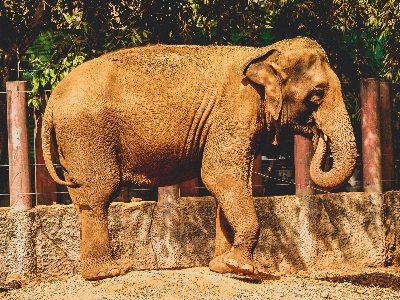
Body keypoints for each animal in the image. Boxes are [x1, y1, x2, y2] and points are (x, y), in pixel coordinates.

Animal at [43, 37, 356, 282]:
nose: (319, 135)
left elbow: (231, 181)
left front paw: (223, 267)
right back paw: (107, 272)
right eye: (317, 94)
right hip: (86, 133)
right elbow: (220, 173)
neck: (265, 53)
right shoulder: (236, 107)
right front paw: (244, 269)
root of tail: (53, 98)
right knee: (97, 195)